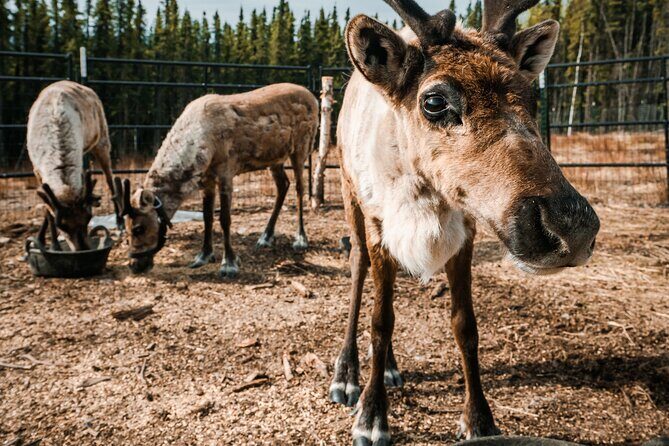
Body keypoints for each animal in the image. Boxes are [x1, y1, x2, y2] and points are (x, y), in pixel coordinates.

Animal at [27, 80, 121, 251]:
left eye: (88, 219)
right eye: (62, 226)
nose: (83, 249)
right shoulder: (36, 169)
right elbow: (47, 209)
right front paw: (50, 243)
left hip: (102, 140)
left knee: (110, 179)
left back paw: (120, 220)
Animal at [115, 83, 319, 275]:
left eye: (138, 228)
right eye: (126, 227)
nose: (134, 266)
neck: (203, 146)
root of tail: (314, 98)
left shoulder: (226, 172)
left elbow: (224, 218)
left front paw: (229, 264)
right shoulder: (206, 179)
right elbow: (207, 217)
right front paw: (203, 256)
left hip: (302, 147)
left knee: (300, 188)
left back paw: (301, 239)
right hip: (275, 158)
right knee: (283, 185)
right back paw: (265, 237)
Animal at [329, 0, 600, 444]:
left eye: (531, 96)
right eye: (434, 102)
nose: (571, 228)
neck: (425, 194)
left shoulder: (466, 234)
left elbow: (465, 326)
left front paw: (479, 419)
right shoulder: (379, 227)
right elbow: (380, 321)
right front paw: (371, 415)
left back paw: (390, 368)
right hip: (349, 194)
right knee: (357, 271)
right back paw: (348, 374)